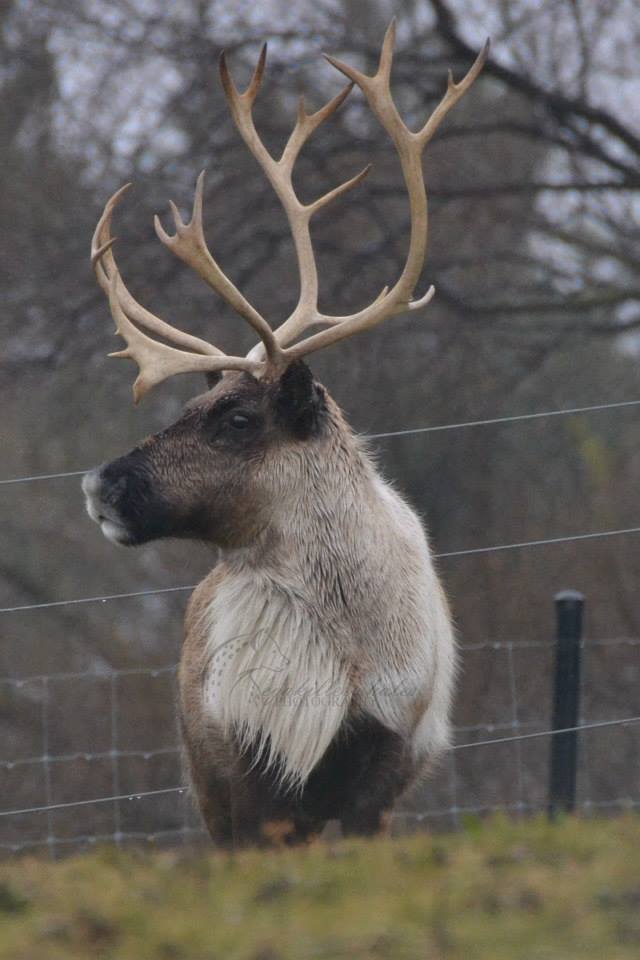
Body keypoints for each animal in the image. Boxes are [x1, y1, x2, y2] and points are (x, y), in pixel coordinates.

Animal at [83, 21, 488, 846]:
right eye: (193, 405)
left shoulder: (382, 769)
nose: (101, 484)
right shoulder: (251, 775)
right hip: (206, 783)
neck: (344, 655)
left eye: (239, 419)